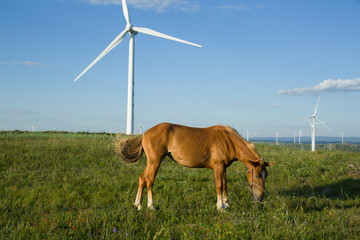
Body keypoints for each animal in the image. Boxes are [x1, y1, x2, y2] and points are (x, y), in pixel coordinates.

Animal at [115, 123, 276, 211]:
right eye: (257, 175)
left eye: (266, 176)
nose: (260, 198)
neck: (228, 140)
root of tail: (145, 133)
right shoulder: (218, 167)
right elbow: (219, 186)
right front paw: (220, 207)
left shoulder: (223, 168)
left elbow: (225, 186)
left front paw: (227, 204)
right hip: (155, 162)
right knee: (149, 181)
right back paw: (151, 206)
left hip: (151, 163)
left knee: (142, 179)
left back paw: (138, 204)